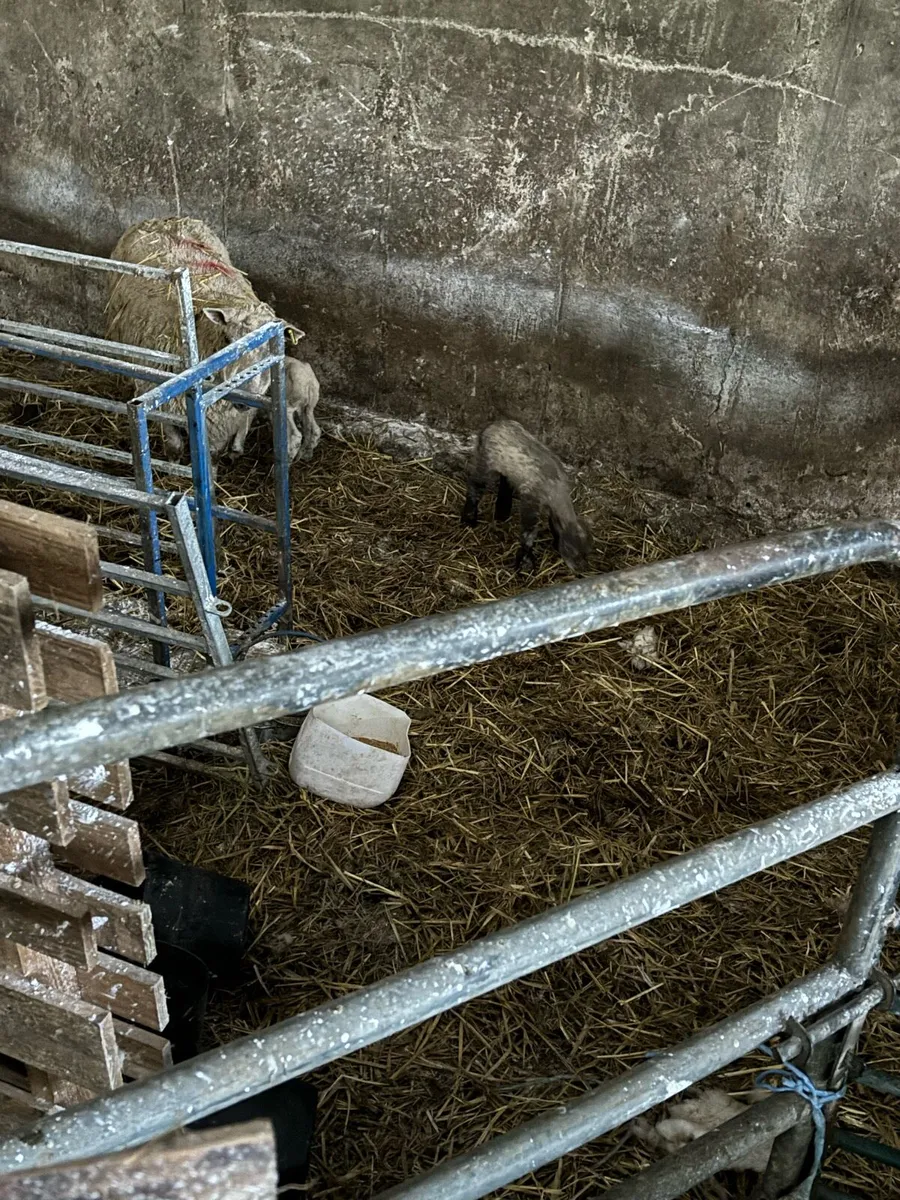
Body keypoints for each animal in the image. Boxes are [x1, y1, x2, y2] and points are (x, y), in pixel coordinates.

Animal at [106, 216, 317, 463]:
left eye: (271, 346)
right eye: (227, 337)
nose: (243, 398)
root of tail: (165, 219)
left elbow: (215, 452)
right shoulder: (157, 393)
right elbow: (174, 445)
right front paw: (174, 462)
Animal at [460, 419, 592, 572]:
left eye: (588, 552)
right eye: (570, 549)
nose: (580, 570)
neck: (556, 487)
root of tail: (489, 426)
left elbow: (553, 524)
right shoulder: (531, 501)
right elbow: (528, 533)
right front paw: (525, 562)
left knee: (504, 484)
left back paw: (502, 513)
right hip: (485, 462)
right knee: (476, 485)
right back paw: (469, 518)